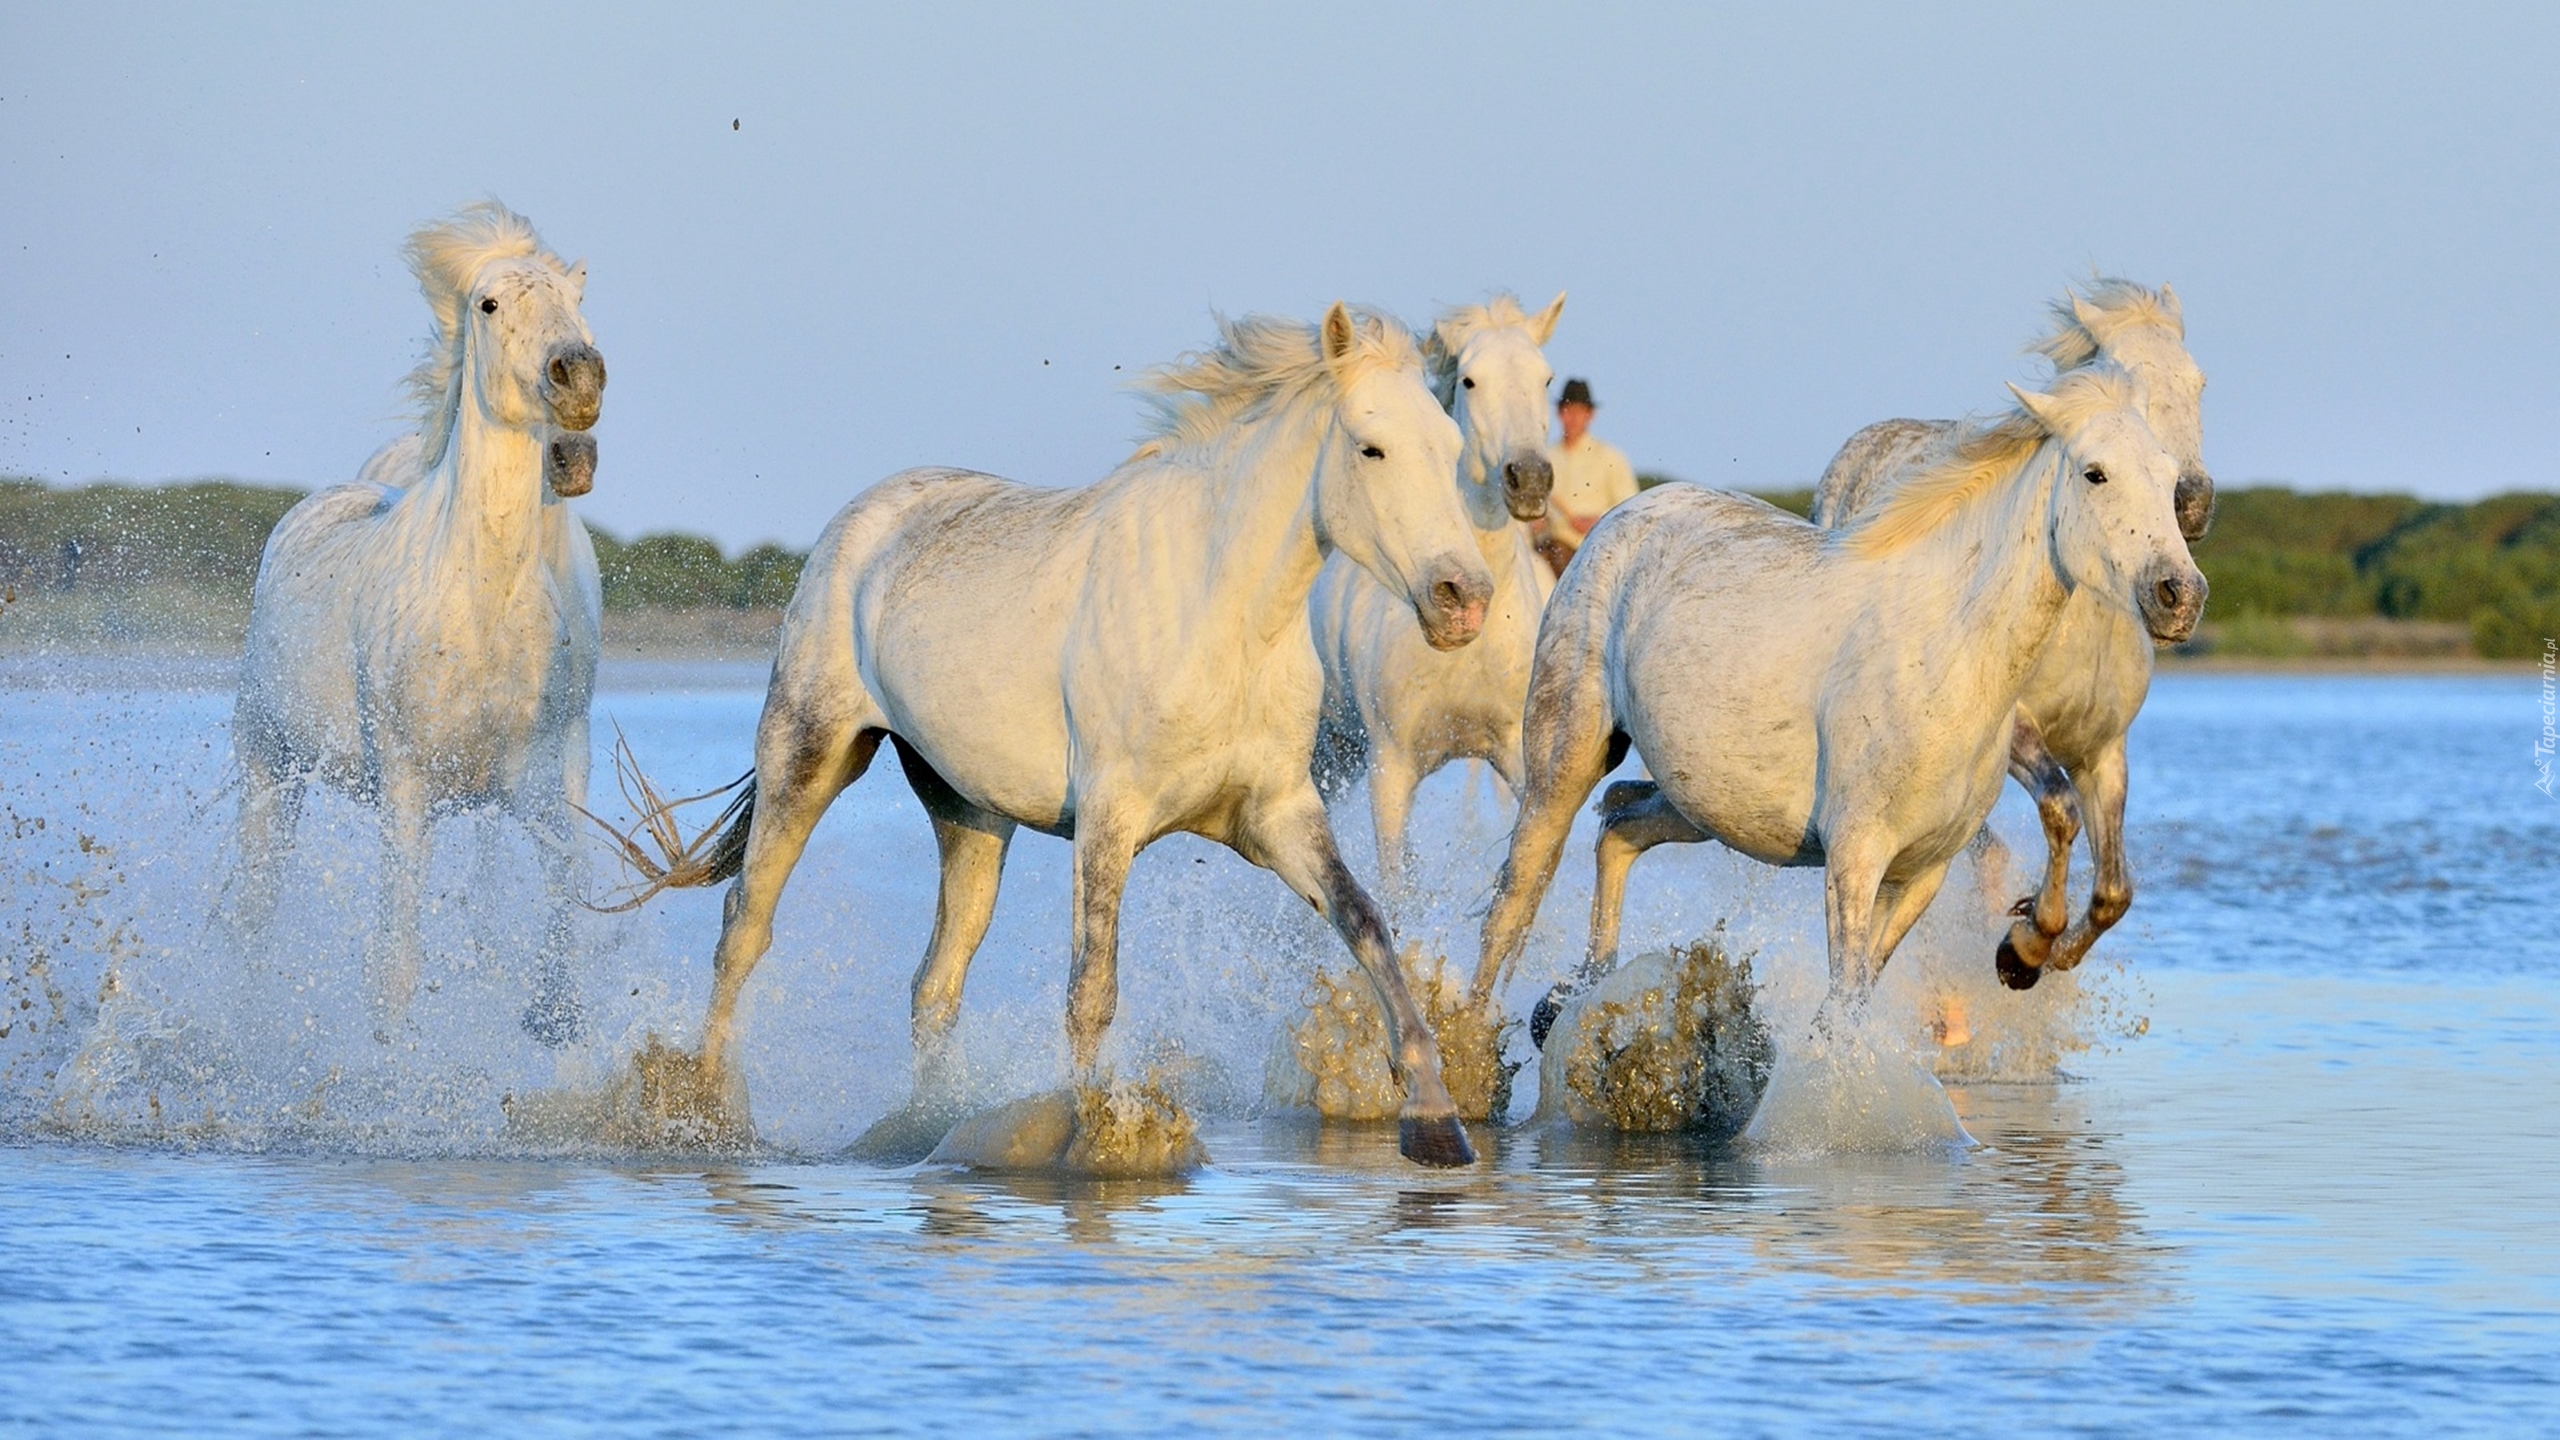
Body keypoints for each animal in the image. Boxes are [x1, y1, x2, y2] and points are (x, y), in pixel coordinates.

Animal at [231, 202, 609, 1040]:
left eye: (579, 299)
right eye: (488, 304)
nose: (579, 379)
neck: (481, 610)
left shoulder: (543, 784)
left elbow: (570, 909)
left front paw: (549, 1011)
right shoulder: (408, 792)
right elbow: (394, 968)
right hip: (270, 762)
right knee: (255, 910)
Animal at [665, 304, 1495, 1168]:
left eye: (1451, 448)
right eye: (1371, 447)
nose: (1463, 597)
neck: (1220, 617)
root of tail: (860, 521)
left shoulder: (1276, 812)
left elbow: (1367, 923)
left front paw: (1435, 1121)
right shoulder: (1108, 815)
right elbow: (1093, 986)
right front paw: (1103, 1139)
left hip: (968, 814)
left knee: (936, 980)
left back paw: (929, 1127)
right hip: (808, 753)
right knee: (744, 927)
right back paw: (704, 1111)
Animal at [1474, 358, 2211, 1030]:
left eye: (2167, 476)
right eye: (2095, 473)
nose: (2180, 595)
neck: (1950, 651)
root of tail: (1622, 516)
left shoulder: (1923, 871)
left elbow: (1845, 1012)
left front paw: (2022, 951)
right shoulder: (1856, 858)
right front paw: (2022, 952)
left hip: (1701, 803)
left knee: (1619, 825)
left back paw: (1571, 998)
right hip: (1565, 759)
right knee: (1515, 897)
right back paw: (1476, 1043)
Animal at [1812, 274, 2211, 978]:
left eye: (2199, 382)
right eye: (2123, 377)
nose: (2191, 502)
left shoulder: (2104, 749)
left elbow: (2114, 890)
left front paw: (2050, 954)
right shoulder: (2019, 731)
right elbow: (2059, 810)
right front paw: (2023, 947)